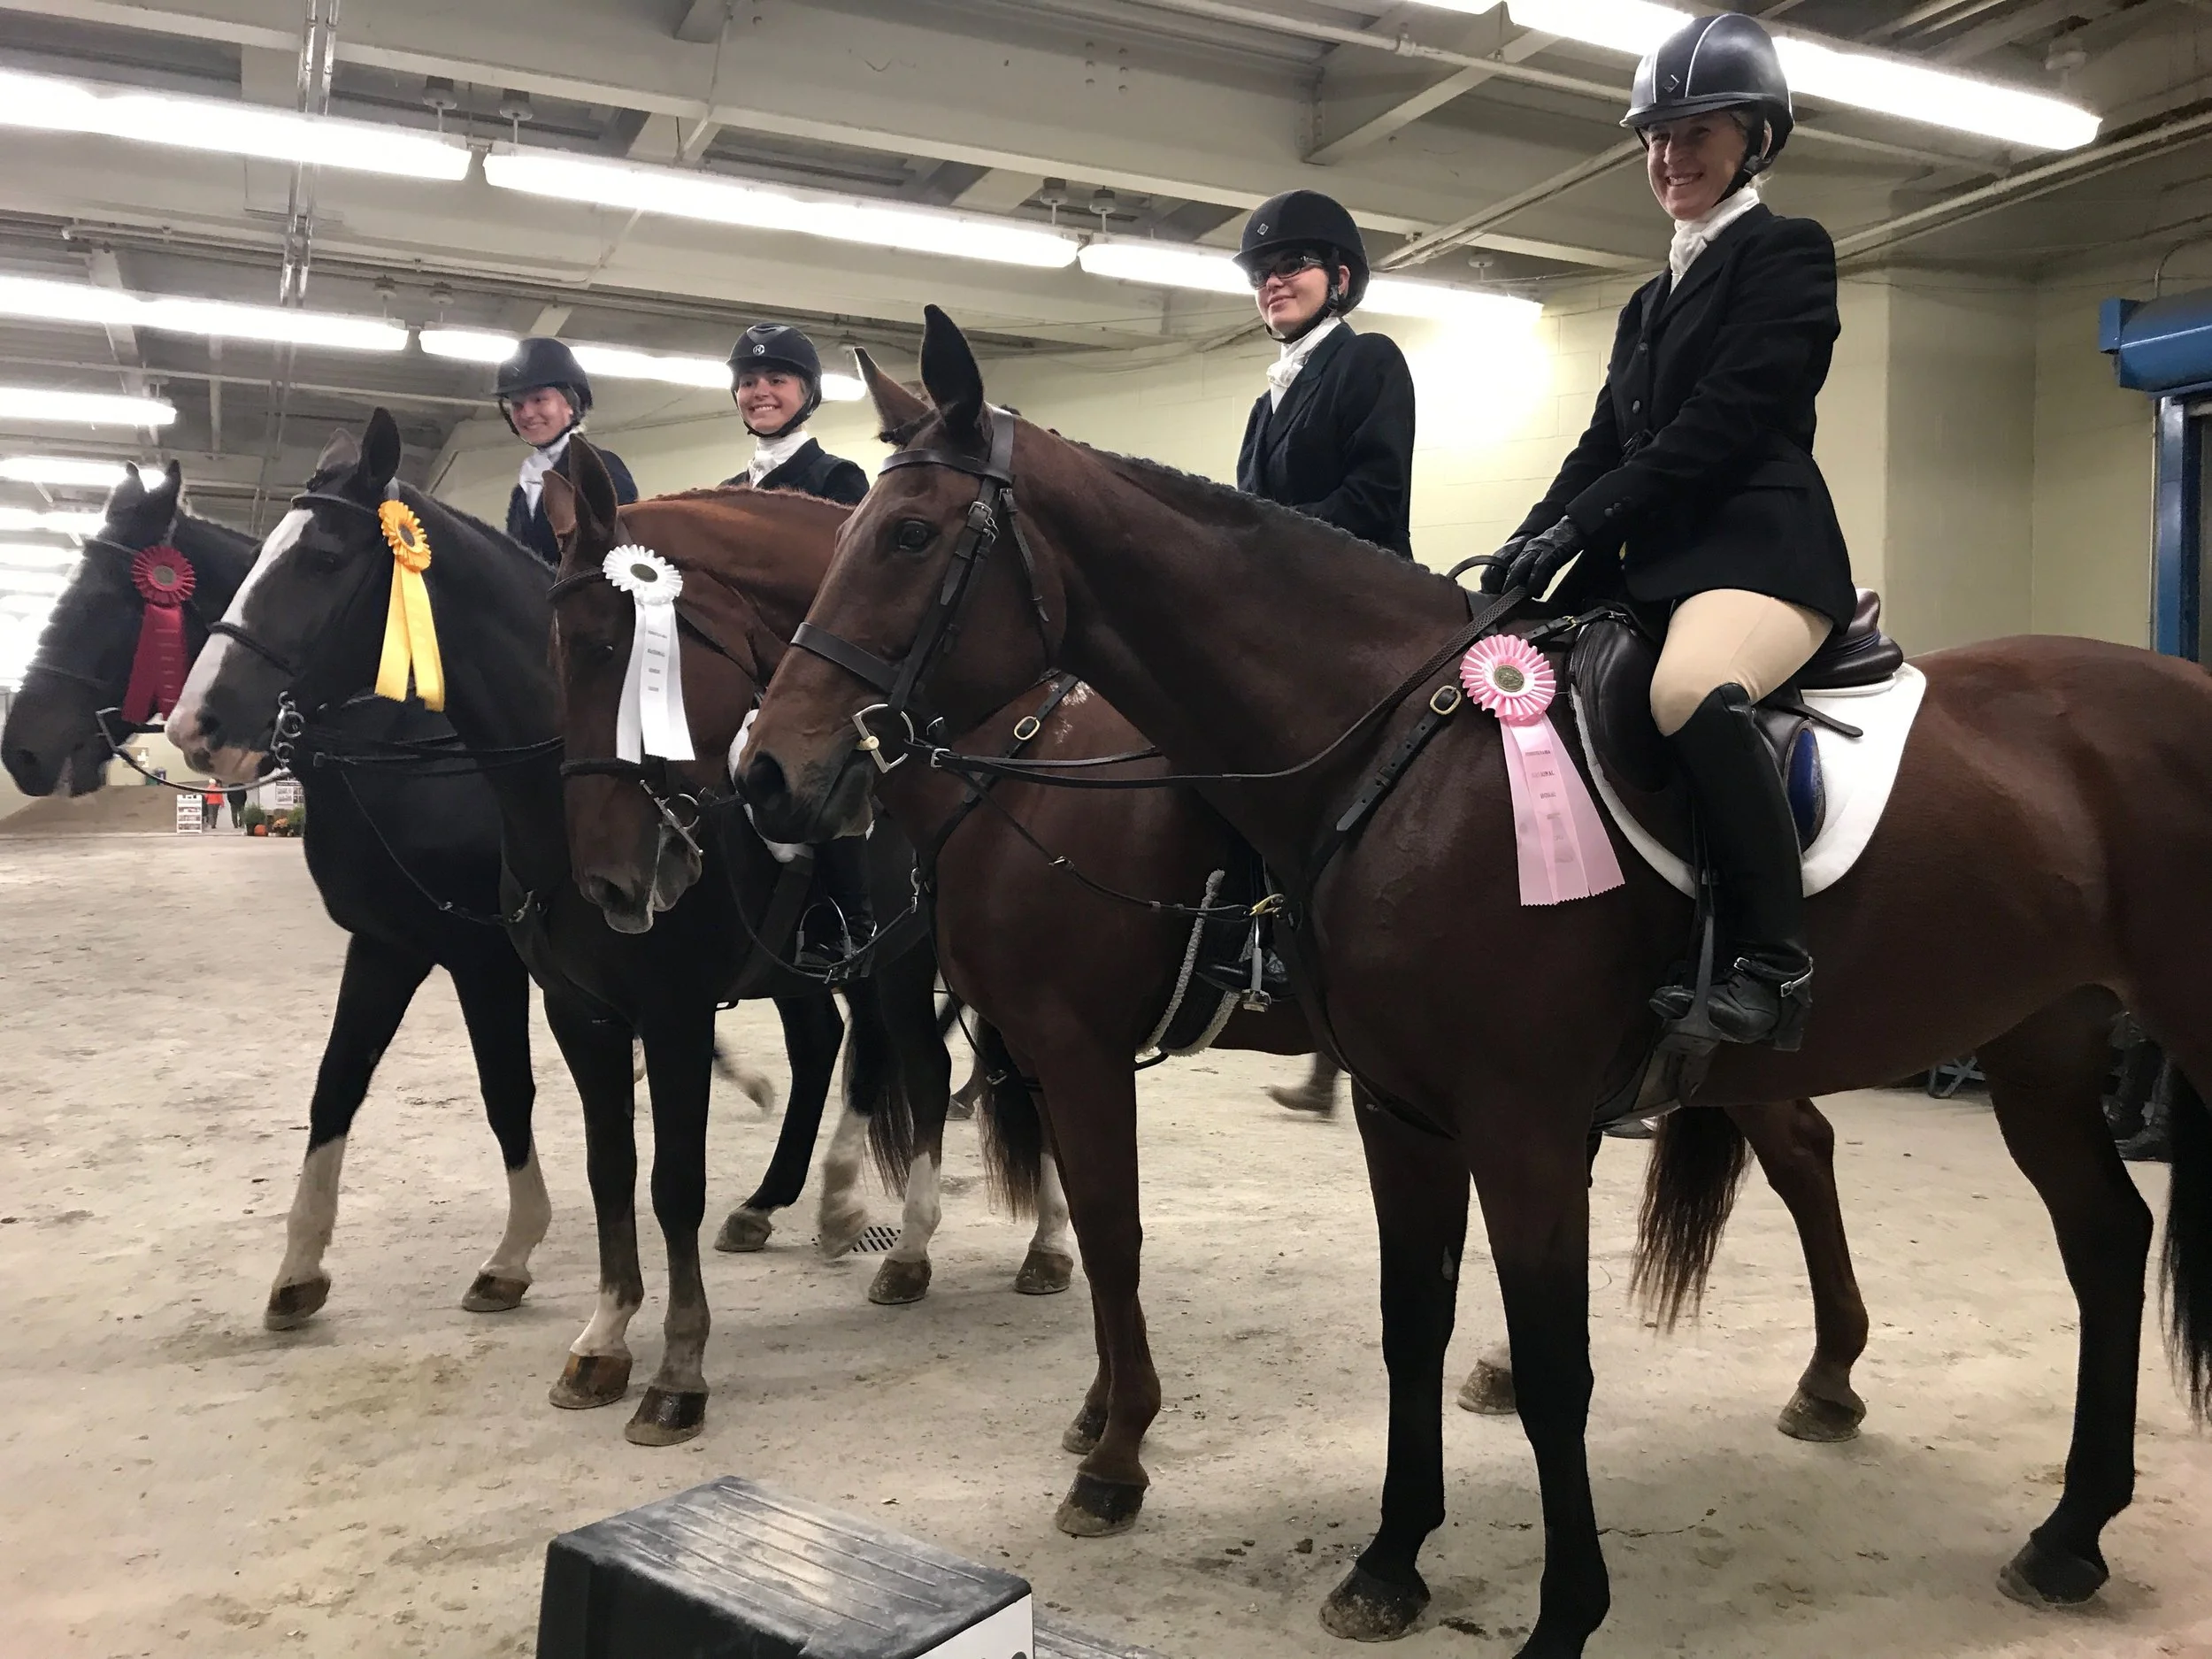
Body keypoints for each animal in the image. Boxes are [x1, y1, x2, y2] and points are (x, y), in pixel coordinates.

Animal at [2, 462, 559, 1330]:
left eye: (107, 596)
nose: (21, 750)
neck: (415, 749)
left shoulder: (484, 956)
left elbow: (507, 1090)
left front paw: (510, 1255)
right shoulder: (388, 945)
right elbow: (335, 1087)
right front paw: (298, 1271)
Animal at [161, 413, 946, 1448]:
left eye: (323, 559)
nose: (195, 725)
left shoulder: (668, 1012)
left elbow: (670, 1180)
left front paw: (679, 1371)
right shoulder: (575, 1009)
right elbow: (606, 1167)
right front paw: (604, 1340)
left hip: (898, 956)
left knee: (923, 1067)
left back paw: (915, 1240)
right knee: (838, 1050)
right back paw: (782, 1205)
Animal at [737, 307, 2212, 1657]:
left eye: (909, 538)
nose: (768, 772)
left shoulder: (1478, 1114)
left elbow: (1524, 1355)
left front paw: (1552, 1610)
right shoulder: (1401, 1111)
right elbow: (1410, 1320)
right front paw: (1388, 1559)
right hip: (2030, 1042)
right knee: (2085, 1233)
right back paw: (2056, 1523)